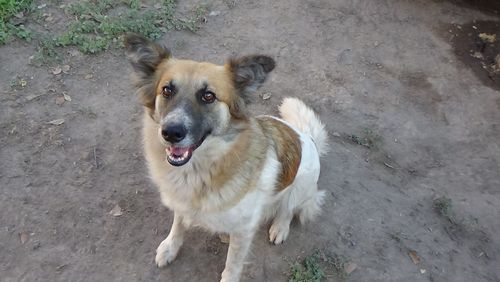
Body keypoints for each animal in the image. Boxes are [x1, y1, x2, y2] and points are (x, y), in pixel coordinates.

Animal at [124, 34, 328, 280]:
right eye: (167, 91)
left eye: (208, 96)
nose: (171, 132)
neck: (199, 170)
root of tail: (307, 137)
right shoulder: (181, 203)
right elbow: (178, 224)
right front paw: (170, 247)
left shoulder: (243, 229)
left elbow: (232, 264)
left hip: (302, 185)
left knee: (288, 209)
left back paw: (280, 227)